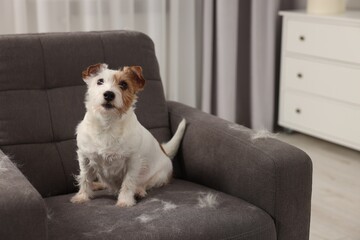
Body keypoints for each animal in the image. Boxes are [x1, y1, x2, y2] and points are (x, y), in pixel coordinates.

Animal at [70, 63, 186, 206]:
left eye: (124, 84)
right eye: (100, 81)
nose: (109, 94)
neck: (108, 124)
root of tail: (163, 150)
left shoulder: (133, 161)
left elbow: (128, 182)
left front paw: (125, 201)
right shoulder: (85, 157)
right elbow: (85, 178)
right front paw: (82, 196)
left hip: (160, 176)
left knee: (145, 184)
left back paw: (139, 191)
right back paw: (97, 185)